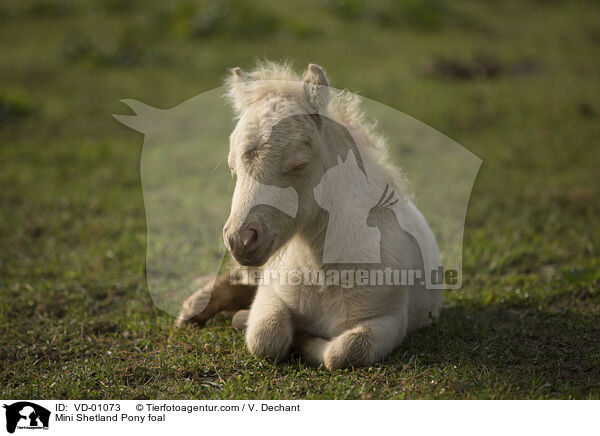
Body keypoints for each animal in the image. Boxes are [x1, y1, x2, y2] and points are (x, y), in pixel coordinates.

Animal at [176, 63, 442, 370]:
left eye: (299, 164)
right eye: (233, 167)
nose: (240, 240)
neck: (323, 275)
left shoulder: (389, 321)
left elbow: (345, 351)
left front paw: (300, 339)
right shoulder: (271, 293)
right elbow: (266, 338)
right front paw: (246, 320)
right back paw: (193, 309)